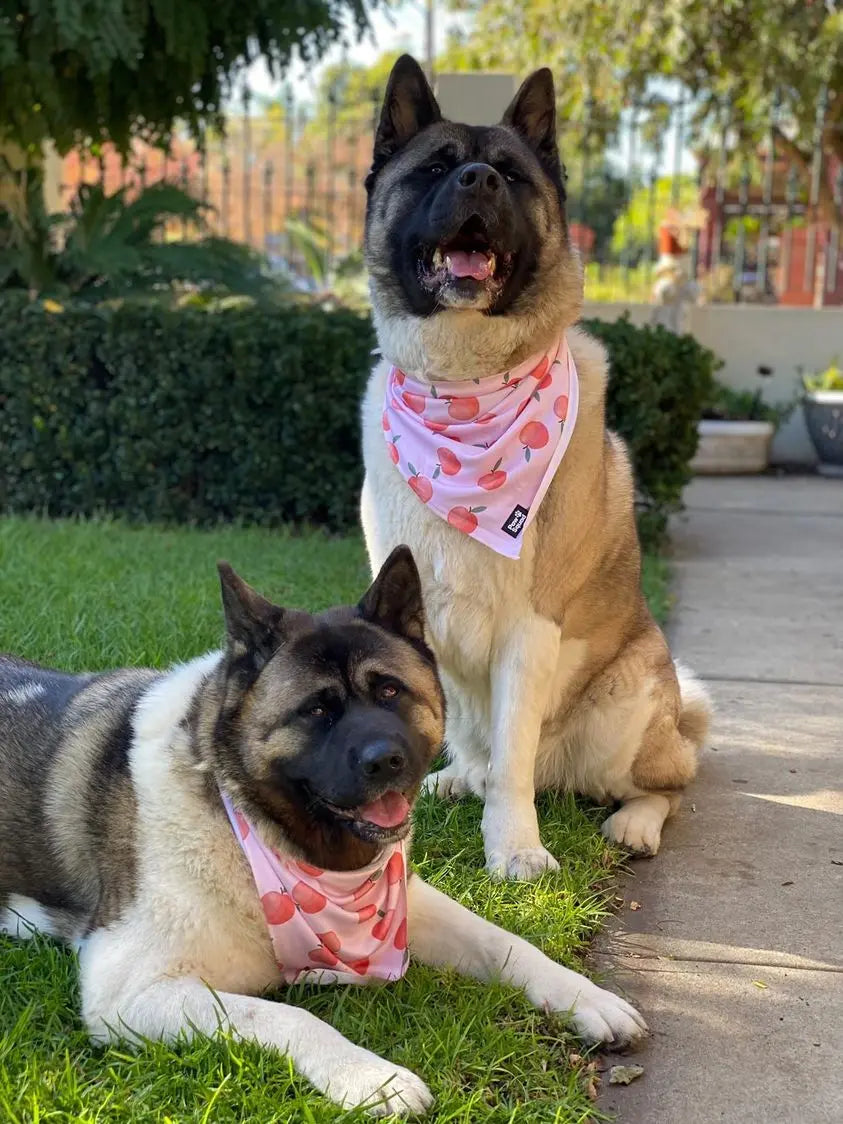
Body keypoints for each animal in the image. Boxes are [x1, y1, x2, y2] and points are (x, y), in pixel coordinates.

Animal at [1, 544, 647, 1115]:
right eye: (316, 710)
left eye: (389, 690)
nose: (387, 760)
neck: (252, 824)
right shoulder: (127, 991)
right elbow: (286, 1014)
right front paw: (372, 1078)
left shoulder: (408, 902)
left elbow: (506, 941)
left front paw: (586, 997)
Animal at [359, 54, 710, 876]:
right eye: (435, 168)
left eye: (512, 175)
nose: (479, 180)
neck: (463, 390)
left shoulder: (530, 629)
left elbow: (512, 765)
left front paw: (513, 847)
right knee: (478, 750)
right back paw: (458, 775)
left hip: (627, 710)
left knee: (668, 783)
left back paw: (633, 822)